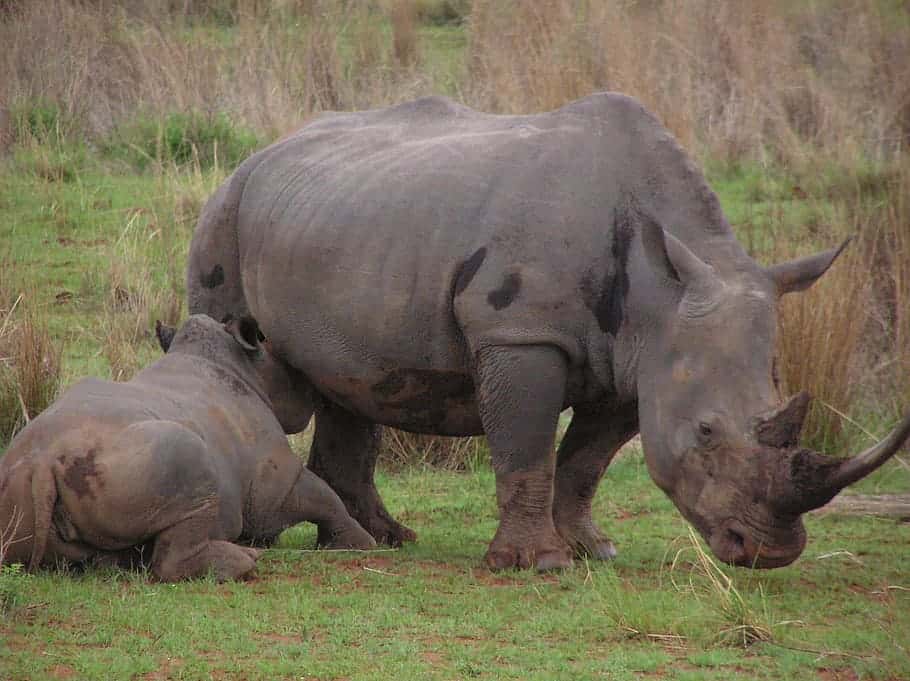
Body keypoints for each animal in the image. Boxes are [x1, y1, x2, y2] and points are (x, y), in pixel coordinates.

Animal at [0, 314, 375, 581]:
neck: (242, 367)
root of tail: (42, 464)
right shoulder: (271, 481)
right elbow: (320, 495)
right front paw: (361, 544)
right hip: (139, 459)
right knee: (189, 466)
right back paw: (245, 563)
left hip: (23, 482)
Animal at [186, 92, 910, 571]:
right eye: (706, 432)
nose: (767, 551)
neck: (662, 287)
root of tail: (262, 152)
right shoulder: (520, 332)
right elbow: (527, 447)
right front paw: (538, 564)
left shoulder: (637, 361)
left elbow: (586, 461)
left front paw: (593, 549)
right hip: (225, 211)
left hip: (341, 219)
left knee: (352, 380)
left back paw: (387, 539)